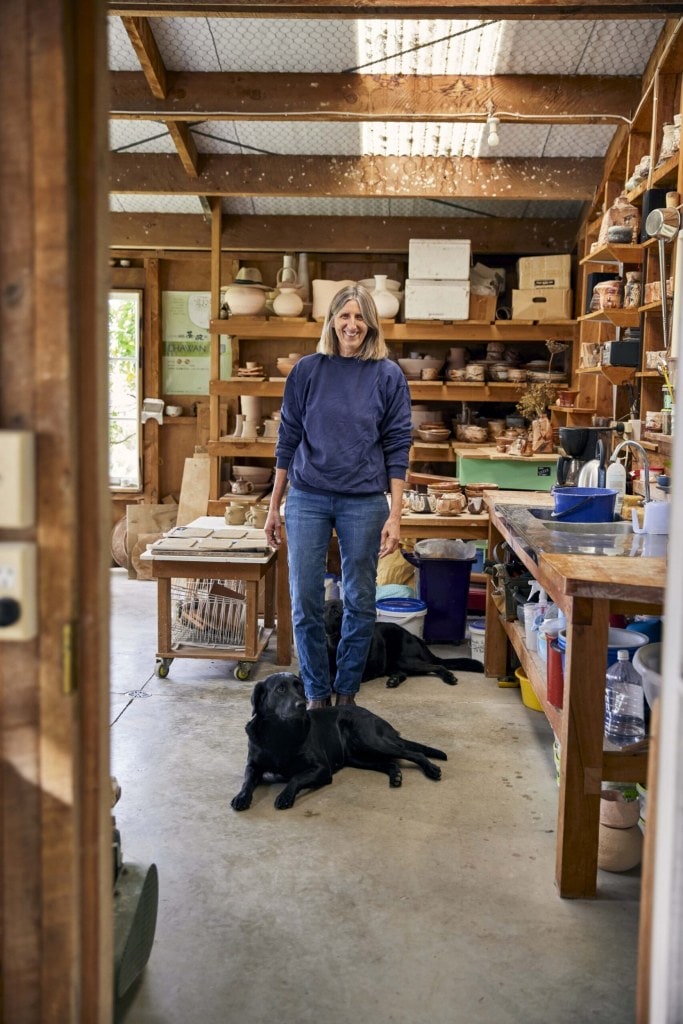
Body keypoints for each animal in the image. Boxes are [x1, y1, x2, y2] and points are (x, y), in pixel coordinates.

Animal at [231, 675, 448, 811]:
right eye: (280, 689)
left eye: (300, 687)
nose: (302, 705)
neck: (281, 733)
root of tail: (378, 718)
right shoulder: (253, 765)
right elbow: (247, 780)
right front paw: (241, 797)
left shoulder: (322, 769)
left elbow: (296, 778)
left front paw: (285, 796)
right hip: (359, 757)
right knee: (390, 763)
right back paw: (395, 775)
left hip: (371, 740)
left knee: (414, 753)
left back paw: (431, 769)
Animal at [323, 598, 483, 692]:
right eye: (323, 608)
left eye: (336, 611)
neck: (335, 644)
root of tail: (413, 636)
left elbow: (331, 681)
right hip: (392, 663)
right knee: (403, 673)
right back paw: (394, 680)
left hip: (403, 660)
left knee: (438, 666)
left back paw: (449, 677)